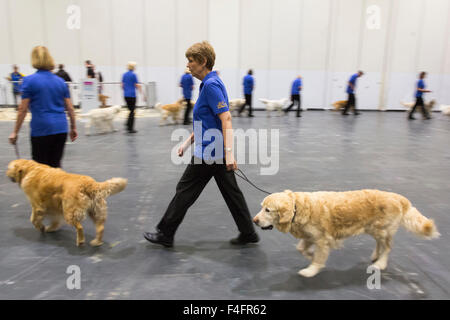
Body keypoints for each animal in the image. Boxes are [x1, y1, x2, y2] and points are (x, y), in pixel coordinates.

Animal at [253, 190, 440, 278]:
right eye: (262, 207)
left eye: (267, 210)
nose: (254, 220)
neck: (298, 208)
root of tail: (399, 197)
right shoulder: (310, 237)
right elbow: (301, 249)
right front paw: (310, 256)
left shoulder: (322, 239)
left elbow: (318, 257)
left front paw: (311, 269)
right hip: (374, 229)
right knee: (380, 244)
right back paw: (375, 256)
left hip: (382, 229)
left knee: (387, 247)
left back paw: (380, 263)